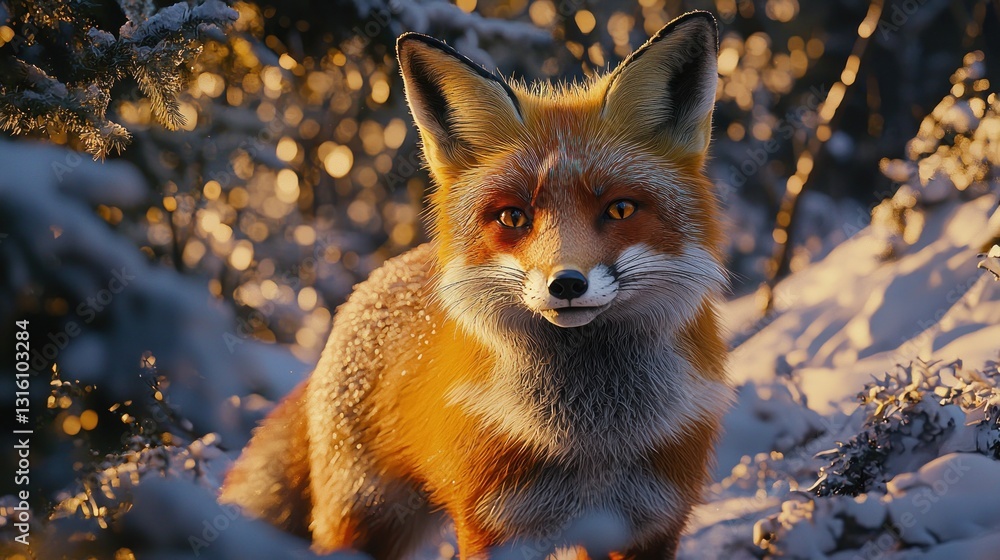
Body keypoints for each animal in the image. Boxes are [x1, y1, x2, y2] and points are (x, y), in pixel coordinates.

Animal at [221, 10, 732, 560]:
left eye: (619, 209)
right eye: (513, 217)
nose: (566, 284)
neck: (592, 435)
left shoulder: (650, 525)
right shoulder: (495, 524)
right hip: (364, 523)